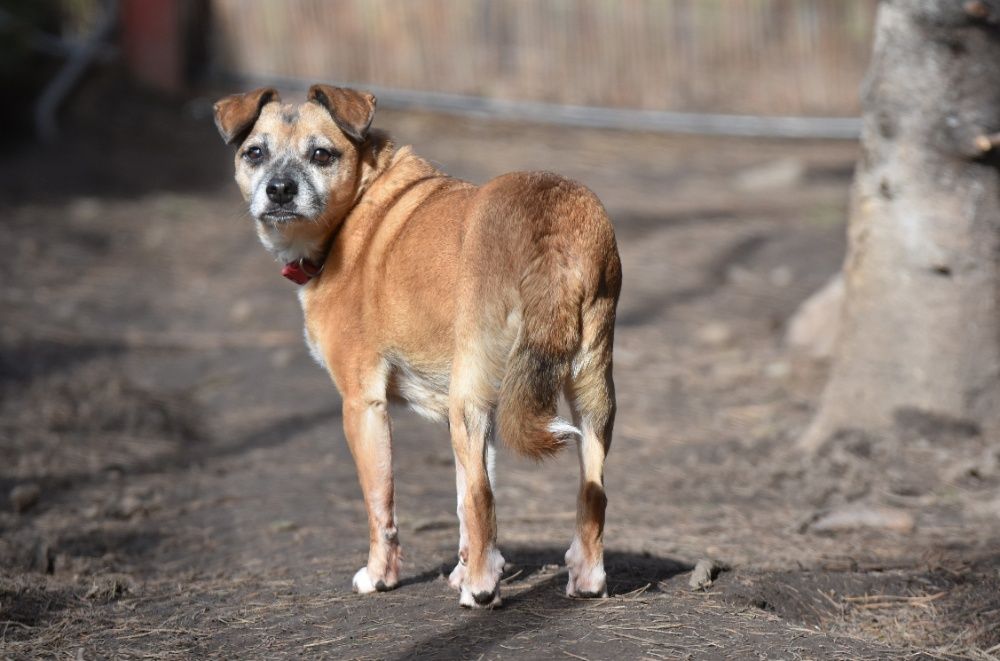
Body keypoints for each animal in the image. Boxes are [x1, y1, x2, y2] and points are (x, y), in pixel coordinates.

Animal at [213, 85, 616, 604]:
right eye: (254, 153)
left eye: (322, 154)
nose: (279, 189)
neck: (358, 205)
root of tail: (548, 222)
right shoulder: (473, 418)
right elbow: (464, 501)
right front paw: (468, 567)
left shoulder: (362, 405)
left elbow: (382, 502)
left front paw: (382, 576)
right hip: (590, 393)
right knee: (590, 491)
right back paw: (583, 577)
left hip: (472, 395)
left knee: (483, 497)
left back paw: (480, 593)